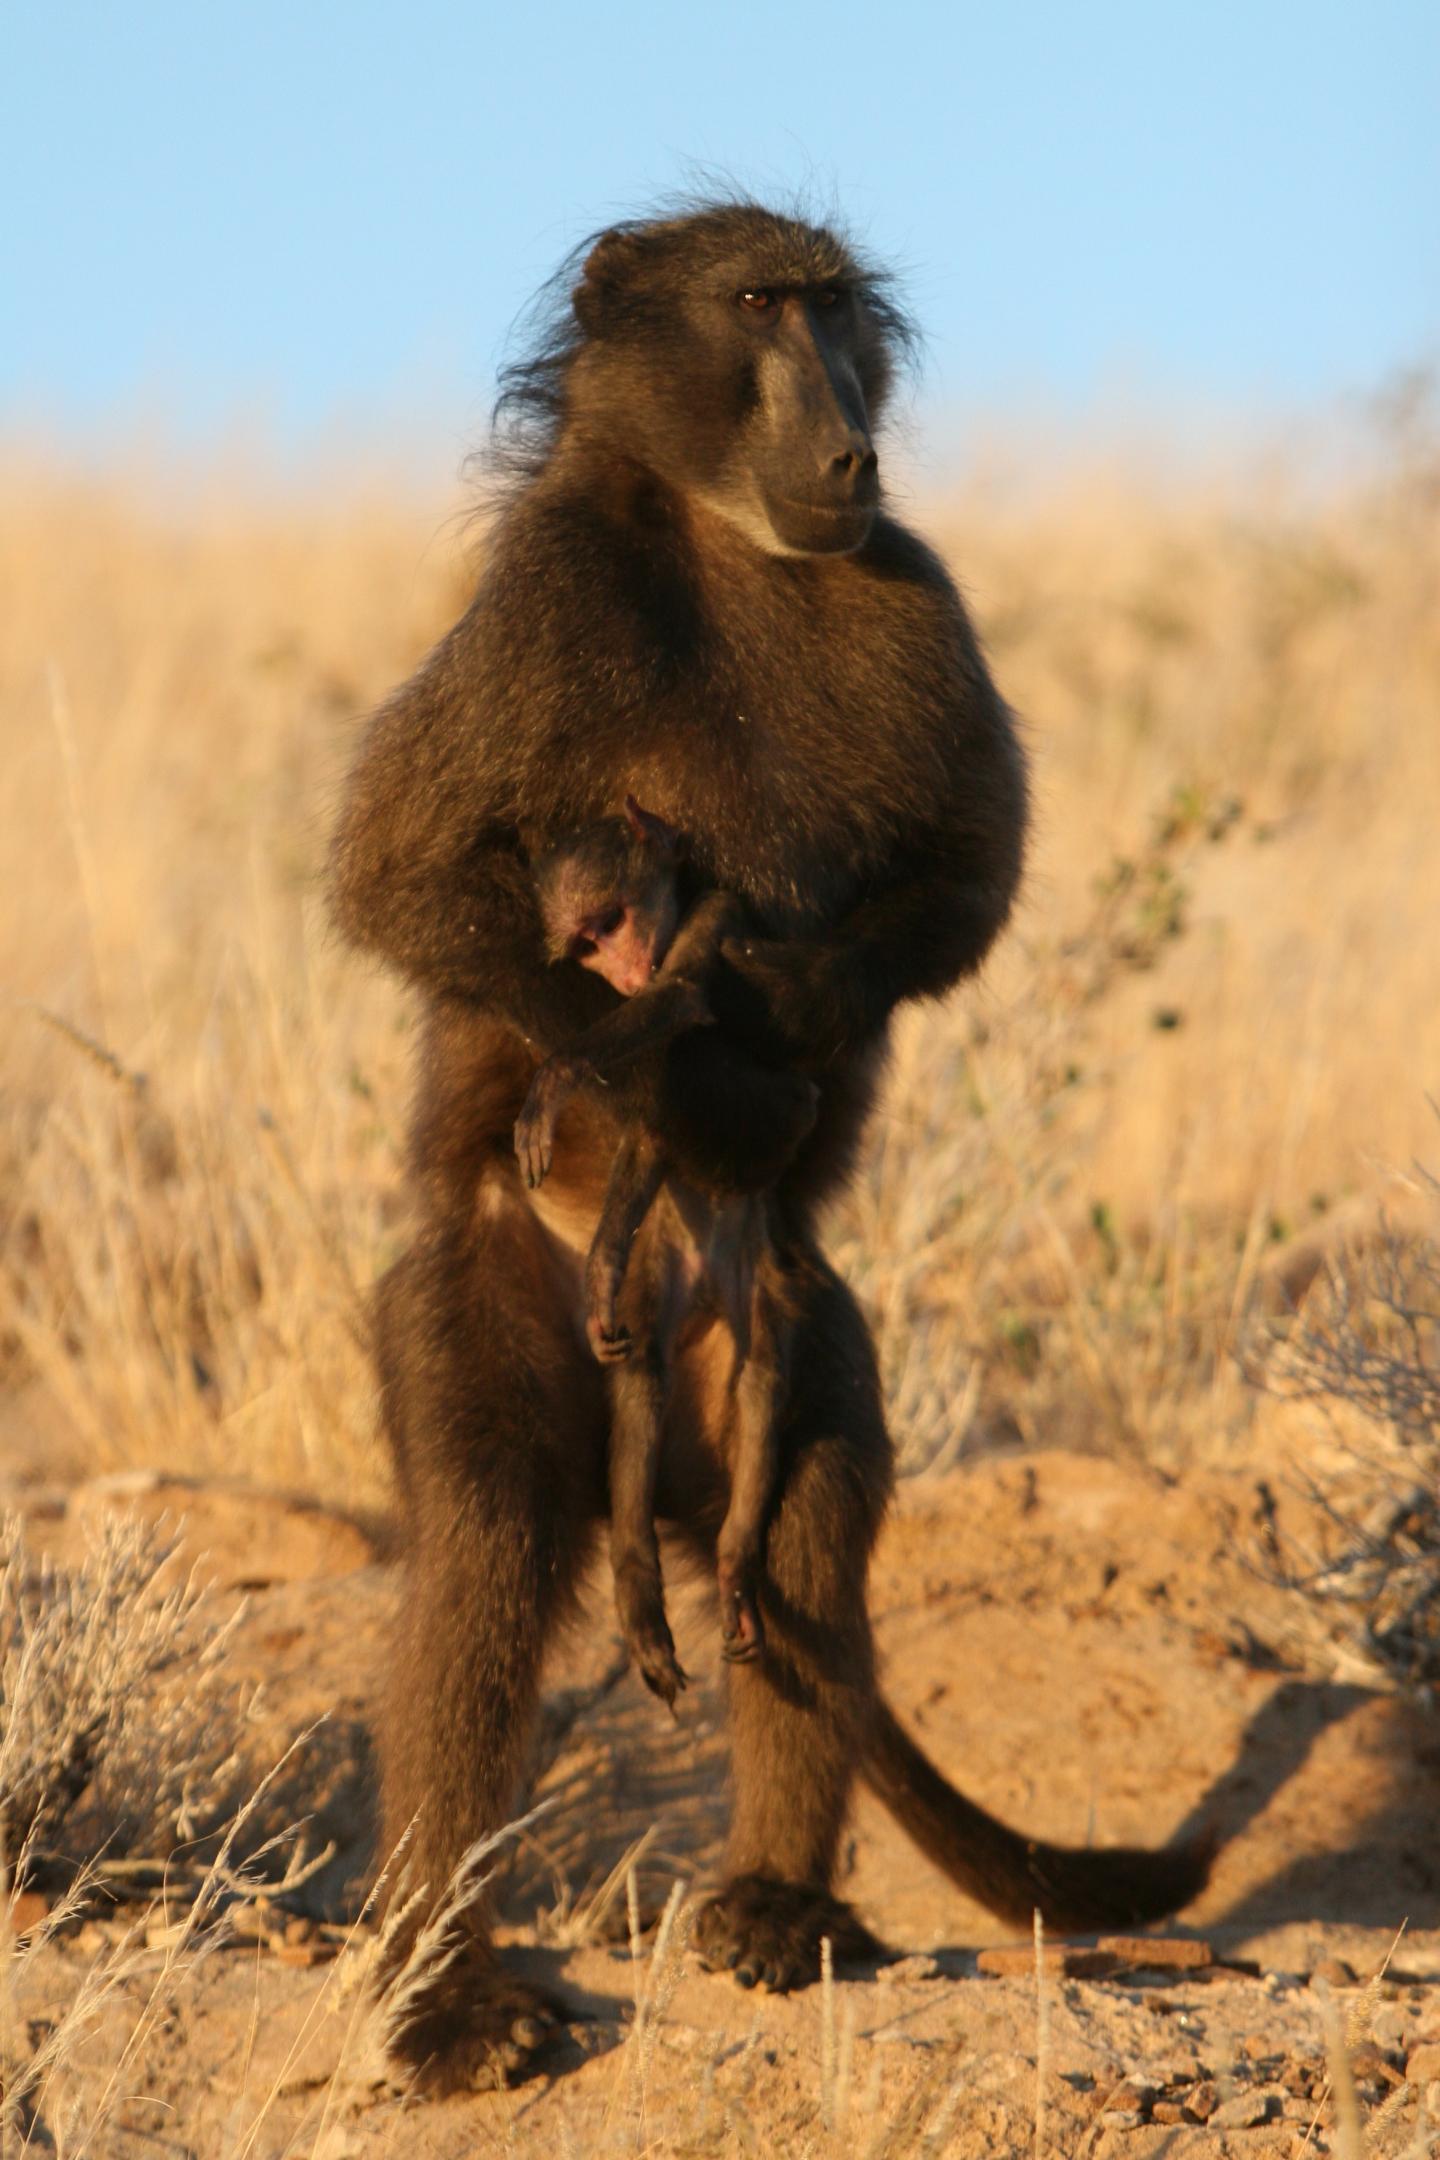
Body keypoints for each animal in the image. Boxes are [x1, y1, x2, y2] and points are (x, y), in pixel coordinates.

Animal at [517, 794, 800, 1701]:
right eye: (583, 945)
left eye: (610, 919)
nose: (618, 971)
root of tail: (707, 1284)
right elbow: (646, 1128)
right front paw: (599, 1271)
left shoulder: (719, 919)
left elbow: (679, 994)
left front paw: (558, 1075)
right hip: (666, 1272)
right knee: (641, 1377)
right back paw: (639, 1589)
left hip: (755, 1276)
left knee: (762, 1376)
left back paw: (736, 1566)